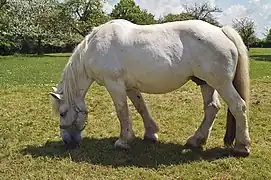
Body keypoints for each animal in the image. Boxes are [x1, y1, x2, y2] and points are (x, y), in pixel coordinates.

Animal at [50, 19, 251, 156]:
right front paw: (150, 134)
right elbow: (141, 107)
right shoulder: (130, 87)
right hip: (206, 83)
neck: (93, 47)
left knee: (238, 107)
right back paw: (196, 140)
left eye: (62, 113)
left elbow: (122, 112)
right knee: (211, 108)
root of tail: (221, 31)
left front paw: (123, 141)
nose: (67, 141)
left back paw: (242, 146)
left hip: (221, 83)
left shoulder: (114, 84)